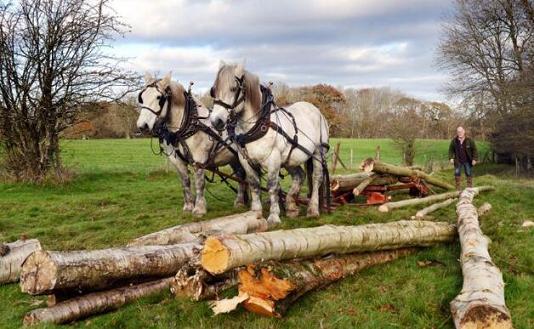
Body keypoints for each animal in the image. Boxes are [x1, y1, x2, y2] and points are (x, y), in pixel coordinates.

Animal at [137, 72, 248, 215]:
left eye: (159, 97)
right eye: (142, 97)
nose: (142, 126)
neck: (186, 126)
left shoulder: (199, 160)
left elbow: (199, 183)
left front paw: (199, 208)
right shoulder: (177, 161)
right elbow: (185, 182)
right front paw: (188, 206)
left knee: (242, 175)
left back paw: (240, 201)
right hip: (233, 158)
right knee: (241, 174)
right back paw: (242, 200)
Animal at [210, 62, 330, 226]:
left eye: (233, 88)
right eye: (214, 90)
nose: (215, 121)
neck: (256, 125)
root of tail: (316, 110)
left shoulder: (273, 159)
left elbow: (272, 186)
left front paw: (274, 216)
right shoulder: (246, 160)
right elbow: (254, 185)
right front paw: (255, 212)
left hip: (318, 151)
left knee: (317, 177)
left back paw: (313, 209)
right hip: (290, 158)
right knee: (299, 175)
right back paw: (291, 207)